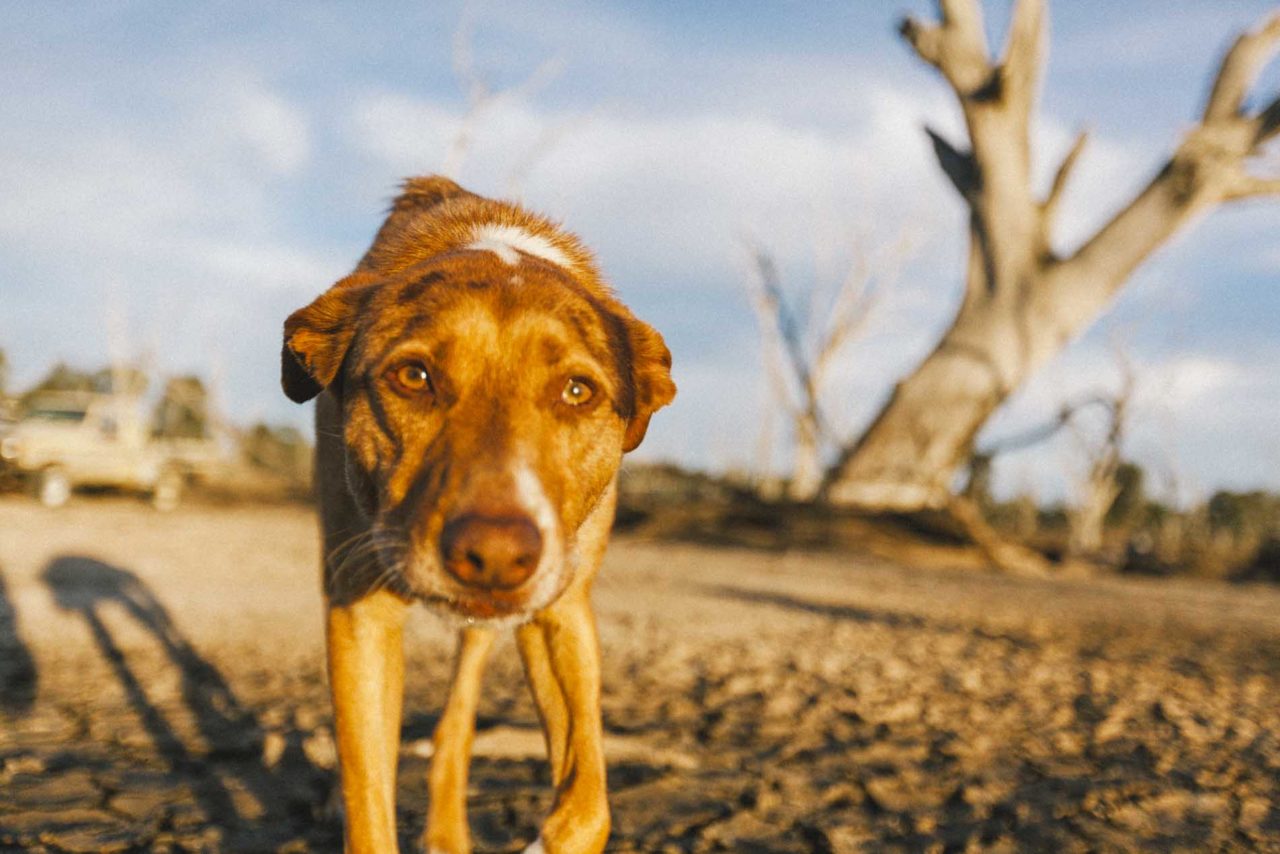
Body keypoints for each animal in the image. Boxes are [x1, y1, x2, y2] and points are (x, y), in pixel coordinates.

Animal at [281, 176, 680, 850]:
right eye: (413, 376)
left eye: (578, 391)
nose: (495, 555)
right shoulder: (357, 607)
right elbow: (368, 798)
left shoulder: (562, 610)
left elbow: (588, 805)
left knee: (457, 719)